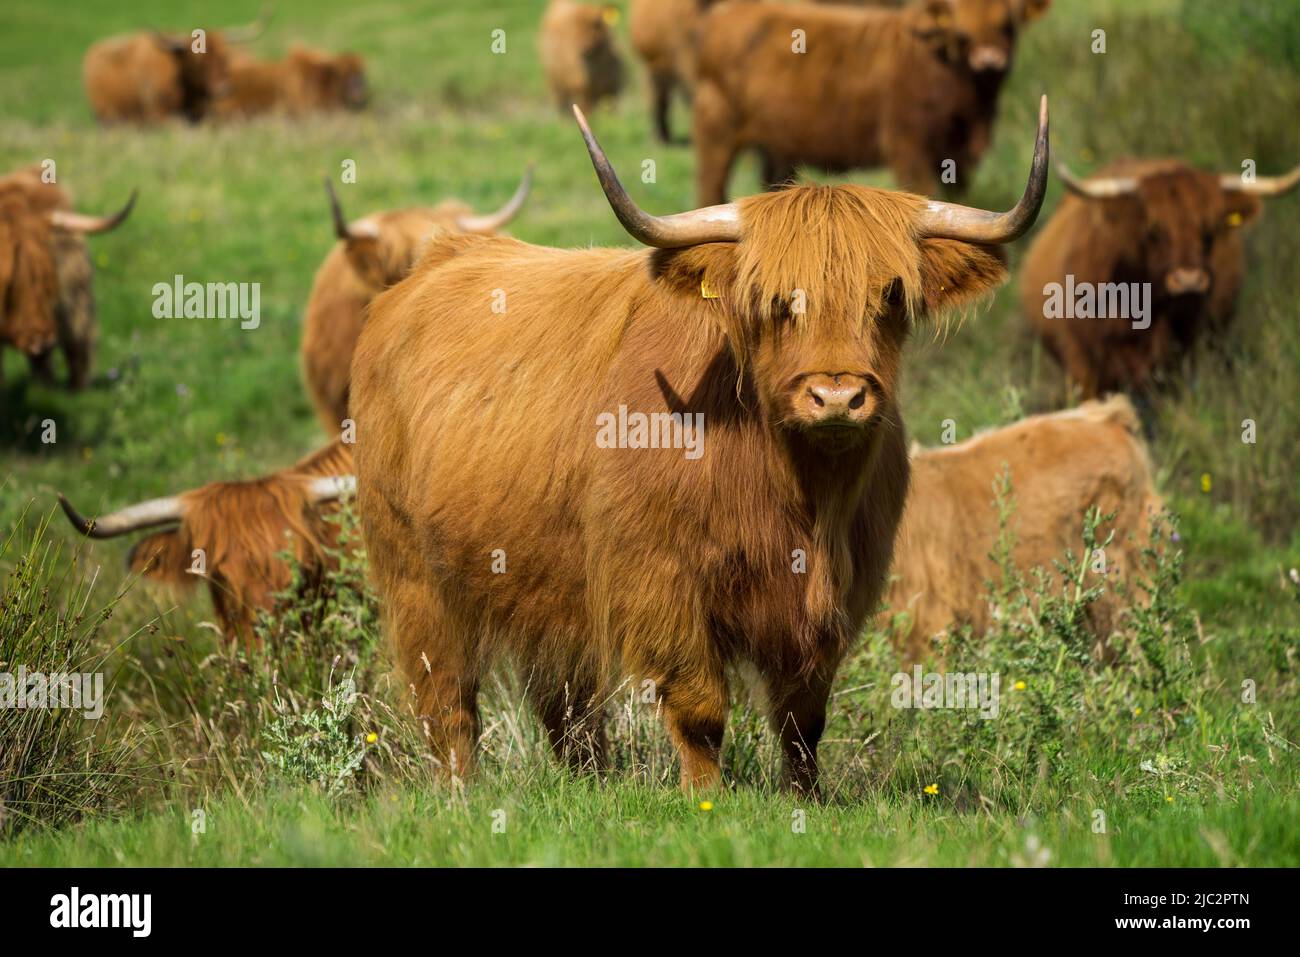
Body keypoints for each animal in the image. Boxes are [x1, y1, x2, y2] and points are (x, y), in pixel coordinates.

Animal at [348, 98, 1049, 791]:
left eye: (892, 296)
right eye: (774, 302)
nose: (837, 396)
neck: (796, 492)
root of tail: (433, 263)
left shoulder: (842, 590)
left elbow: (803, 718)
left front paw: (807, 797)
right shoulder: (660, 581)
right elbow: (700, 707)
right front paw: (705, 799)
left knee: (565, 702)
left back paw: (588, 783)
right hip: (415, 575)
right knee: (448, 699)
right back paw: (462, 793)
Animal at [691, 0, 1050, 205]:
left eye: (1008, 23)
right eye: (963, 30)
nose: (989, 60)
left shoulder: (963, 155)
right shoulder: (908, 147)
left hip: (776, 146)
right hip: (716, 130)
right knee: (710, 190)